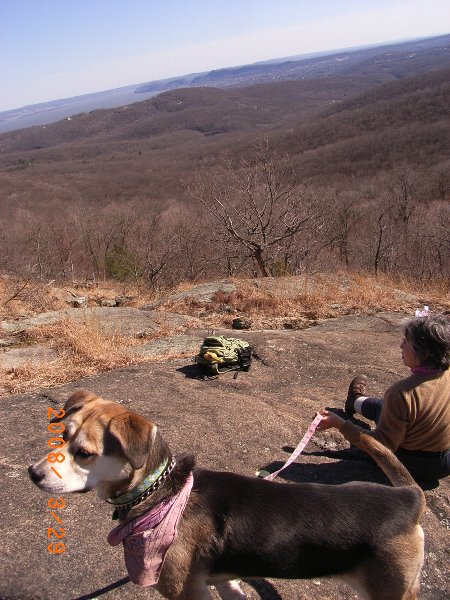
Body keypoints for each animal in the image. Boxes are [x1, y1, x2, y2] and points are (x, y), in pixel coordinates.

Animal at [29, 390, 426, 600]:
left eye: (84, 453)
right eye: (62, 435)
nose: (32, 473)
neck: (162, 495)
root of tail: (408, 498)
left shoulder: (183, 591)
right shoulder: (221, 582)